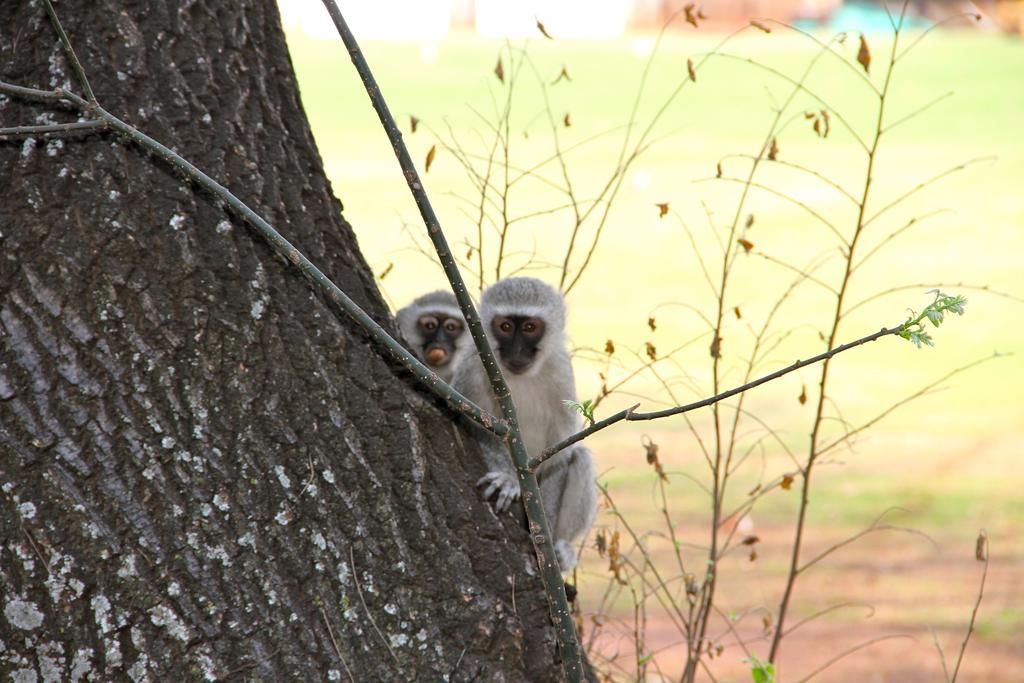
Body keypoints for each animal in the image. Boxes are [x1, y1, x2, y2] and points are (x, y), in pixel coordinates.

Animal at [452, 278, 598, 573]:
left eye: (530, 327)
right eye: (506, 327)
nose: (517, 351)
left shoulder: (562, 373)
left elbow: (559, 457)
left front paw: (546, 541)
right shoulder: (472, 367)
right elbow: (481, 428)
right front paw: (508, 479)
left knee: (580, 458)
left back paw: (563, 546)